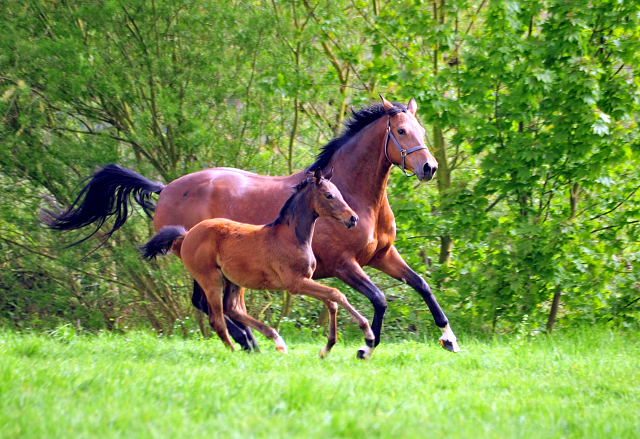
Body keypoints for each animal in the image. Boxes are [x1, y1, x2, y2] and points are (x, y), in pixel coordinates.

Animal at [139, 170, 376, 360]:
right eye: (329, 195)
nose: (352, 218)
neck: (291, 236)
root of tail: (187, 234)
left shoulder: (305, 280)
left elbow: (331, 302)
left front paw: (326, 348)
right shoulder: (295, 283)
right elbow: (336, 294)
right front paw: (368, 335)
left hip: (232, 280)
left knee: (232, 308)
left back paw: (275, 341)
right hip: (210, 279)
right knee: (218, 319)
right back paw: (235, 351)